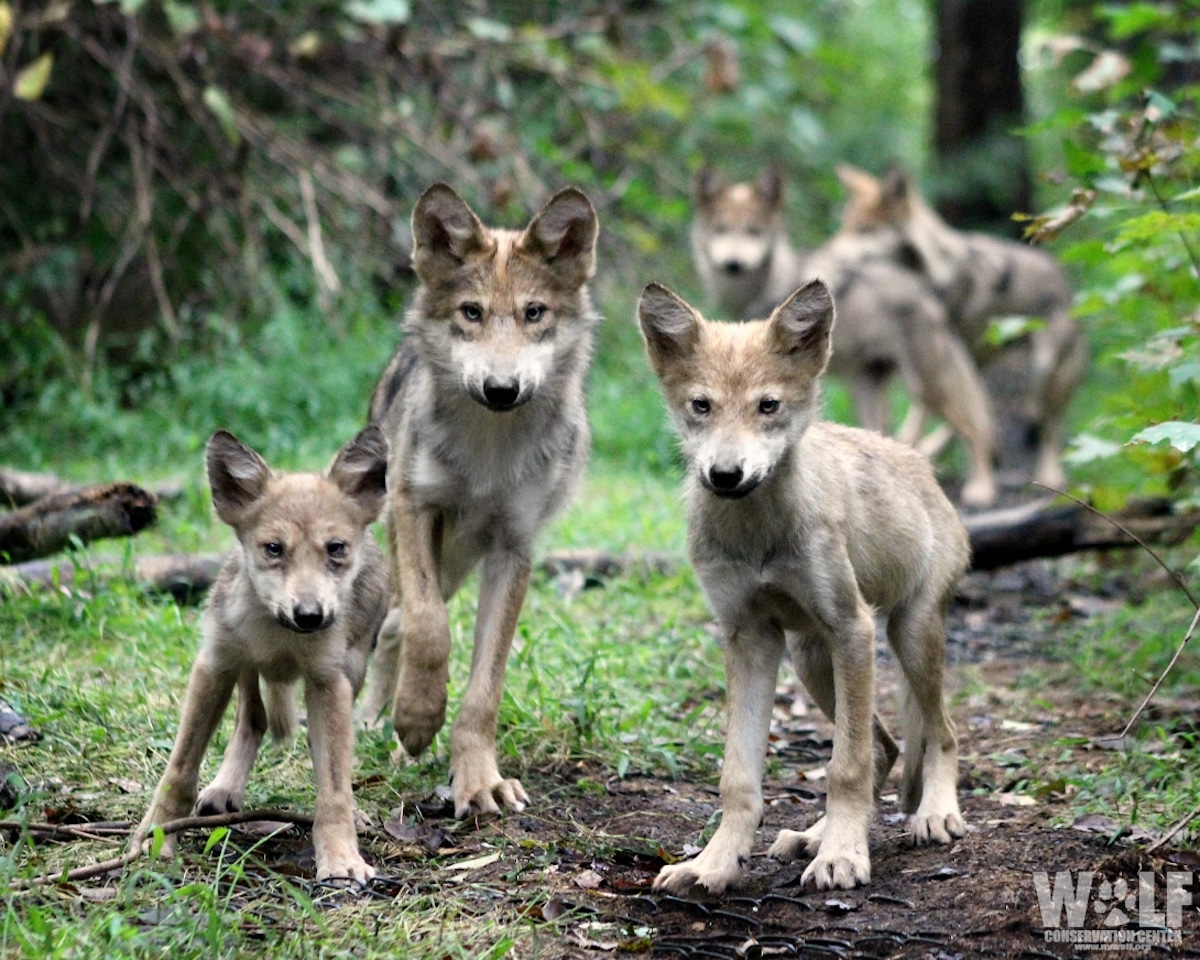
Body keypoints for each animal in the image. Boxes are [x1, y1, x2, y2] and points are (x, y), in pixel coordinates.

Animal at [135, 427, 388, 883]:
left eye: (335, 548)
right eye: (273, 548)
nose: (309, 615)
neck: (279, 639)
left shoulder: (328, 681)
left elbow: (334, 789)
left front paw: (340, 858)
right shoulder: (214, 665)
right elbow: (178, 772)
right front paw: (156, 837)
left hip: (351, 672)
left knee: (310, 743)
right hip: (244, 670)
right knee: (253, 721)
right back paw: (224, 788)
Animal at [357, 182, 597, 816]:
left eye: (534, 313)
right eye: (472, 313)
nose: (501, 389)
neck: (491, 450)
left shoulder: (514, 548)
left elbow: (485, 686)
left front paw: (478, 779)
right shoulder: (417, 508)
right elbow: (429, 628)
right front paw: (417, 719)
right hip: (416, 546)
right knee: (395, 623)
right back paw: (378, 725)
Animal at [638, 280, 964, 897]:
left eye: (768, 406)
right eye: (701, 405)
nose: (725, 475)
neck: (758, 536)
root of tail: (921, 465)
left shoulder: (852, 628)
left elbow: (844, 768)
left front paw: (843, 858)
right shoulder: (749, 638)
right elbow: (739, 779)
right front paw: (714, 864)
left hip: (905, 638)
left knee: (940, 734)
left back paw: (935, 814)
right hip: (813, 659)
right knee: (885, 746)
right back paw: (812, 835)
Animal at [691, 165, 998, 508]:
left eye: (753, 231)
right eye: (721, 229)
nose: (733, 265)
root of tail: (925, 292)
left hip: (926, 387)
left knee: (975, 426)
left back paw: (981, 489)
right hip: (869, 388)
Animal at [835, 162, 1089, 492]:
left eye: (865, 230)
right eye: (846, 226)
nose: (830, 256)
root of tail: (1066, 283)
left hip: (1042, 371)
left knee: (1047, 424)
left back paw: (1048, 474)